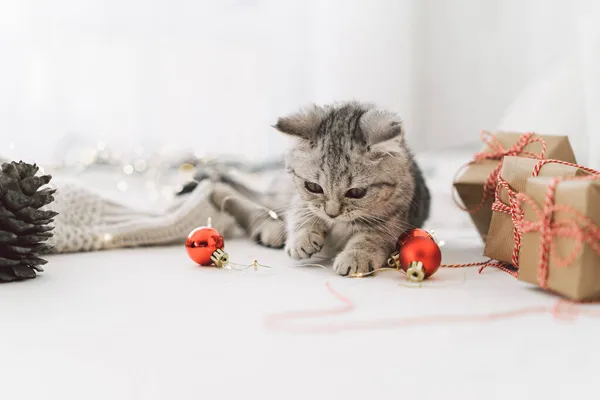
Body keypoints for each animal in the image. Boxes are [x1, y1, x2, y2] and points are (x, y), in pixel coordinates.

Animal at [209, 101, 428, 276]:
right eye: (313, 187)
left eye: (357, 193)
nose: (332, 214)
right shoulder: (299, 198)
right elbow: (302, 211)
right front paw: (301, 238)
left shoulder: (395, 220)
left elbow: (371, 238)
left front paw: (355, 256)